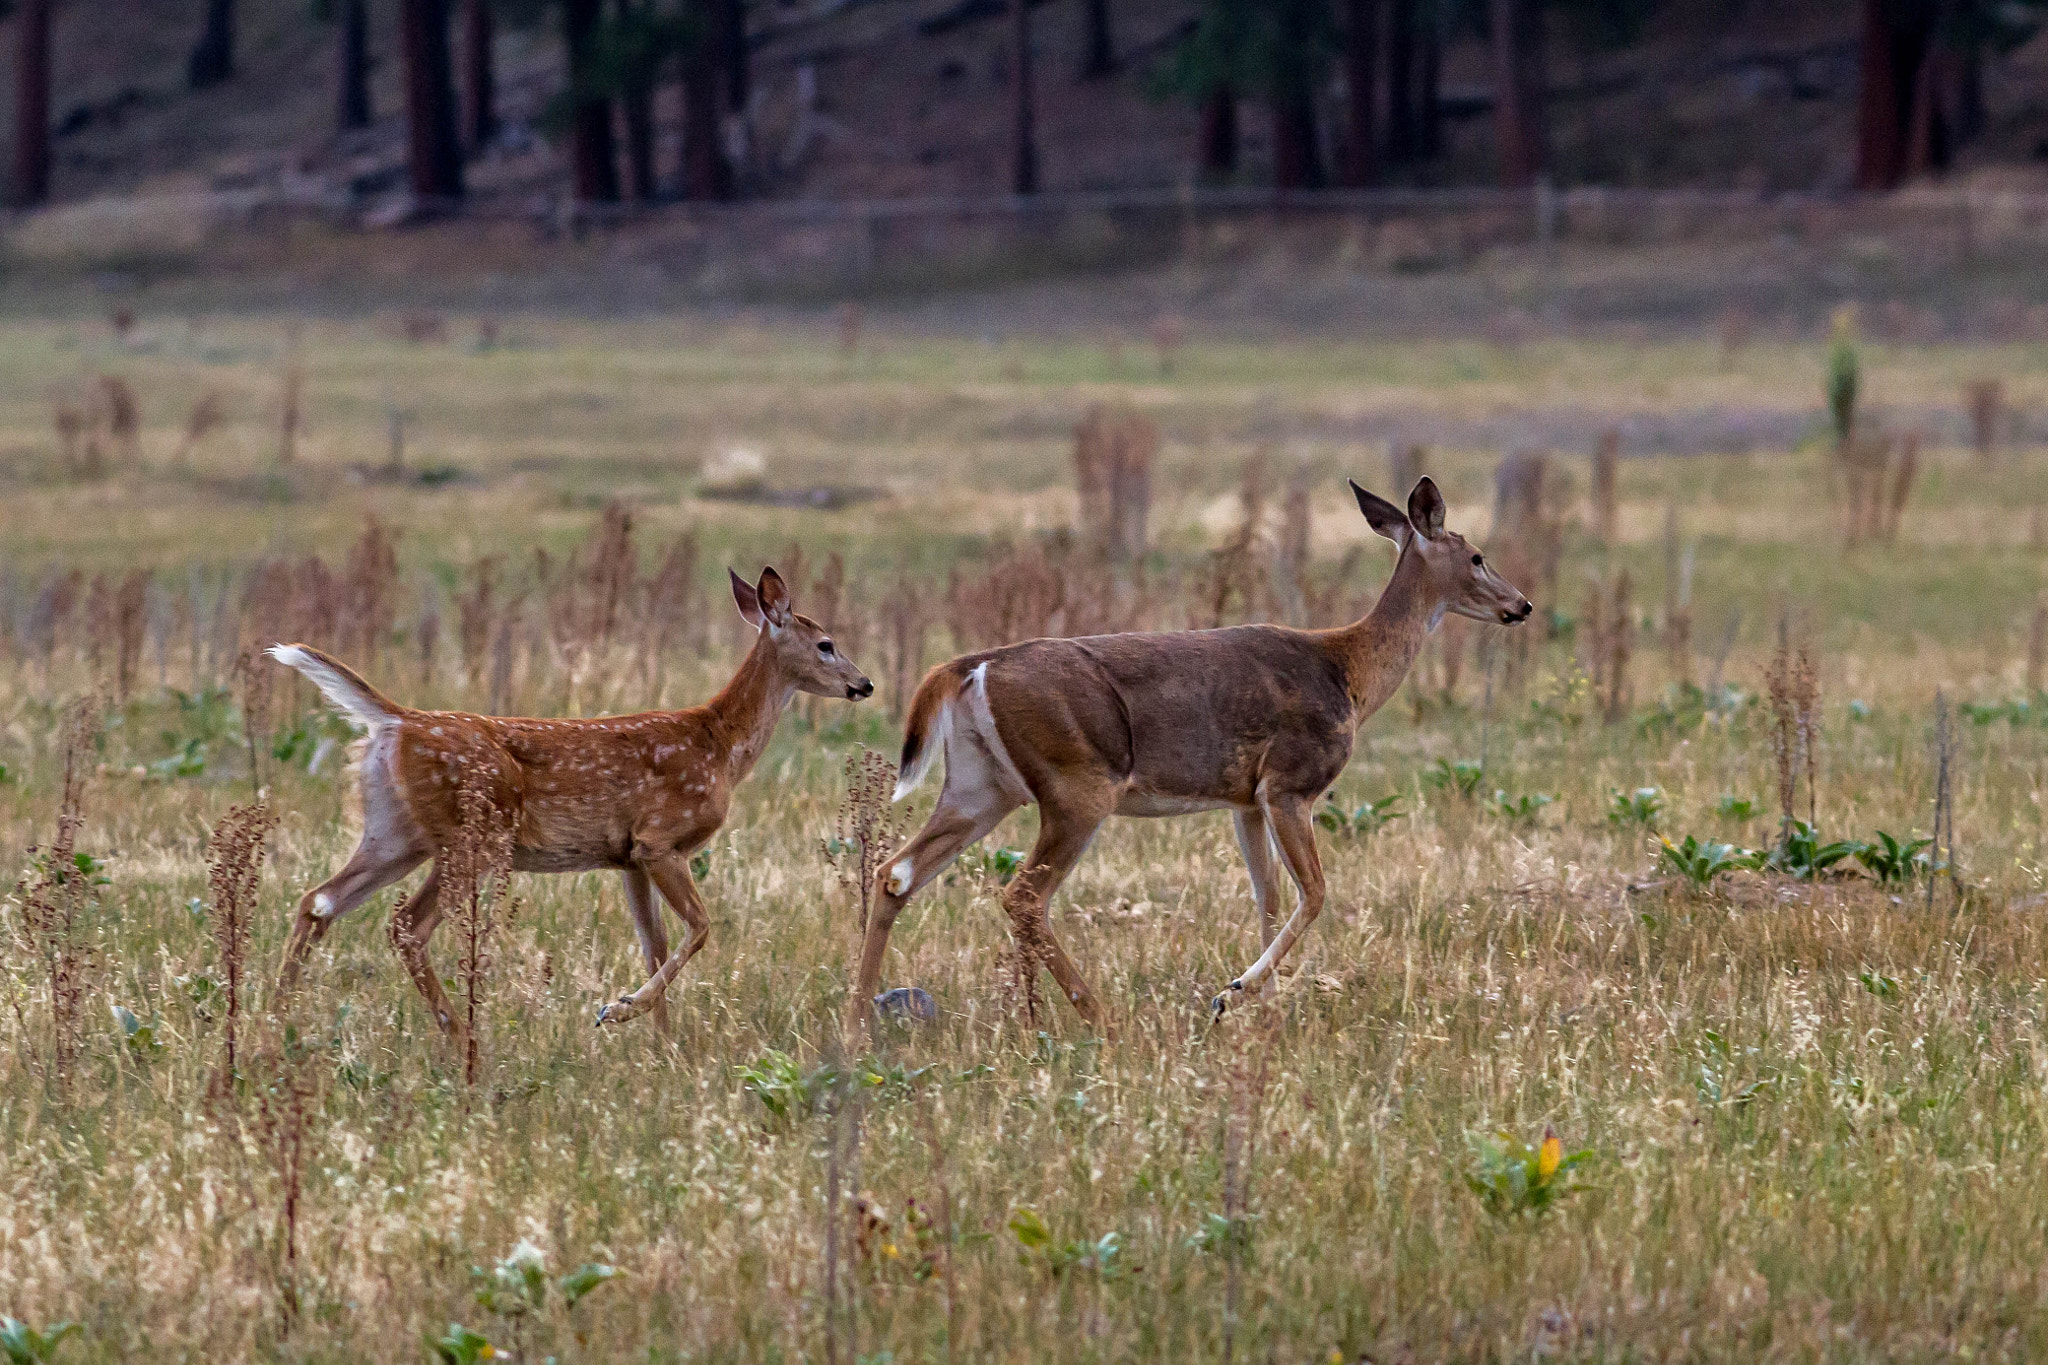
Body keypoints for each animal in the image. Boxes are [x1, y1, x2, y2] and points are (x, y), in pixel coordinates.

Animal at [268, 564, 868, 1047]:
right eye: (826, 644)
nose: (864, 684)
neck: (719, 744)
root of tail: (397, 721)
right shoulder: (660, 839)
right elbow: (700, 928)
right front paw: (620, 1010)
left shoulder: (629, 857)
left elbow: (655, 943)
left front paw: (663, 1047)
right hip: (472, 836)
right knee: (406, 926)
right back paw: (461, 1037)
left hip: (395, 832)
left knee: (318, 901)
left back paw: (276, 1020)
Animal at [856, 474, 1531, 1031]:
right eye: (1477, 555)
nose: (1520, 605)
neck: (1349, 673)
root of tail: (970, 667)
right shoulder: (1291, 783)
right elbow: (1314, 893)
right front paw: (1231, 994)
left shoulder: (1246, 799)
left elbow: (1270, 898)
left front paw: (1265, 1012)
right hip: (1077, 784)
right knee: (1022, 895)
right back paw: (1101, 1019)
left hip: (982, 784)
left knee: (895, 872)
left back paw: (860, 1019)